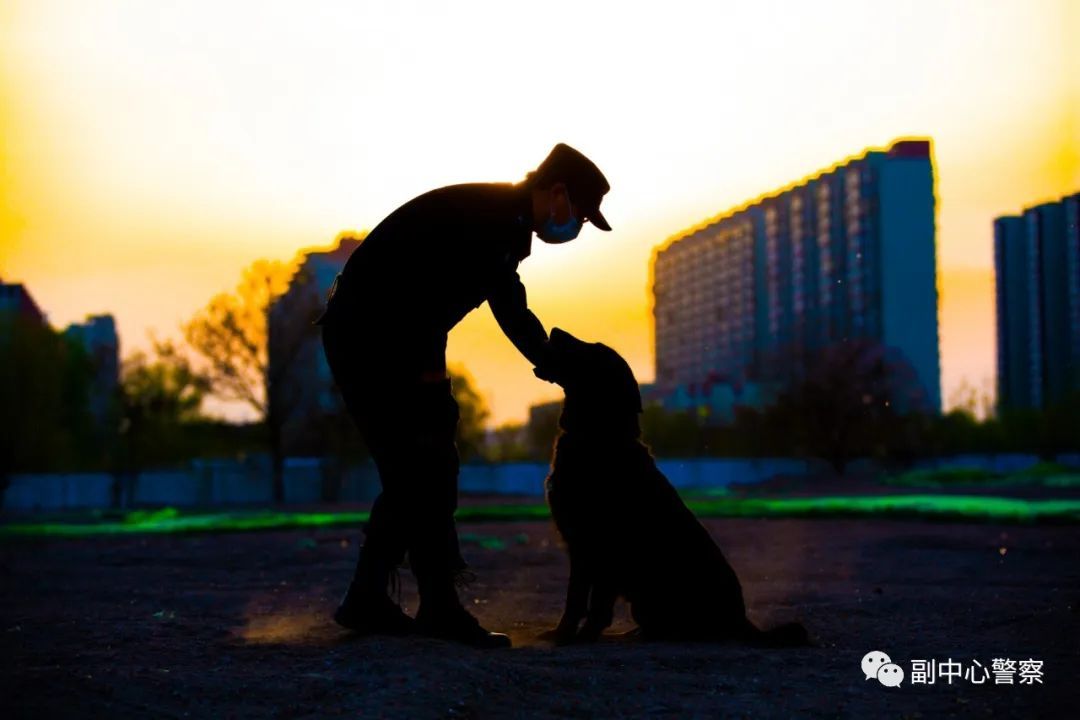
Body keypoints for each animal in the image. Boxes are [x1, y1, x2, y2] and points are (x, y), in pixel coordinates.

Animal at [540, 328, 812, 647]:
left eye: (593, 350)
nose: (554, 330)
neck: (598, 435)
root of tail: (742, 622)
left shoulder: (604, 547)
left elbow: (596, 606)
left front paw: (582, 637)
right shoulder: (579, 548)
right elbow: (574, 600)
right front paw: (562, 633)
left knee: (678, 630)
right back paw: (631, 634)